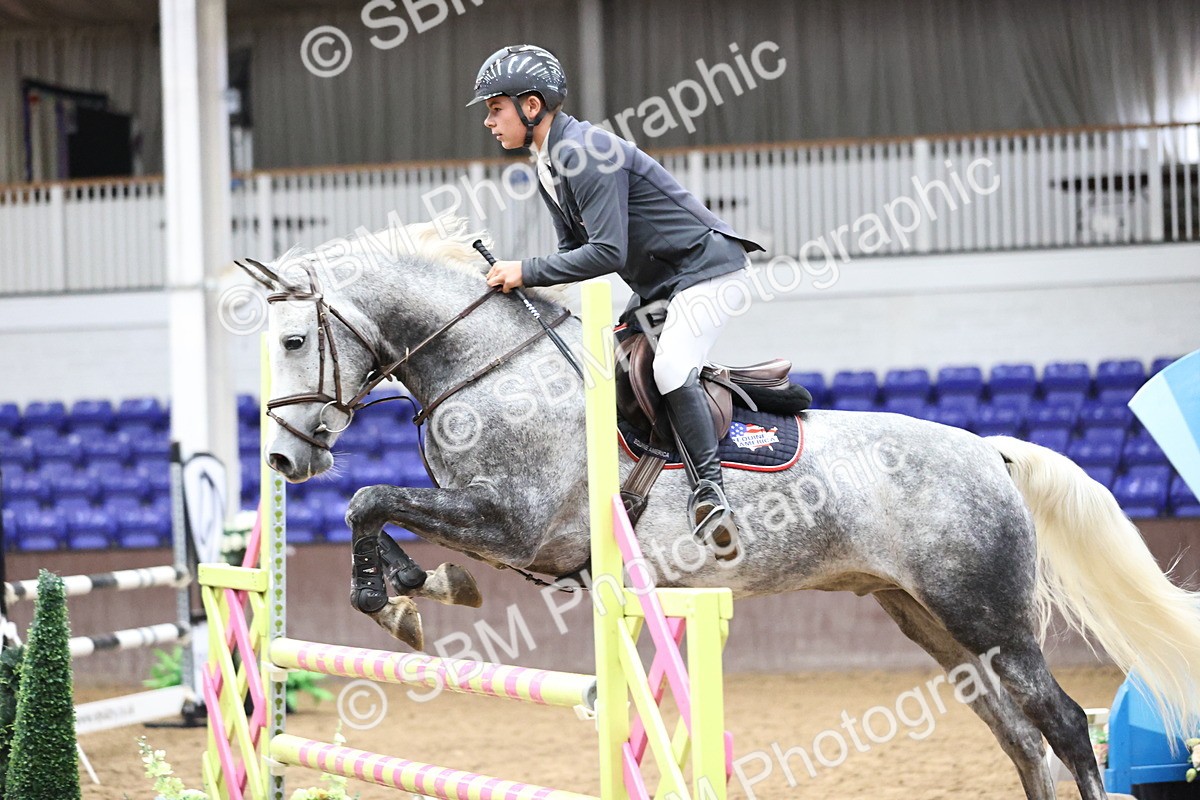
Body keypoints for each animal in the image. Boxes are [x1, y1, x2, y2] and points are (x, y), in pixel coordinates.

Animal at [239, 216, 1200, 800]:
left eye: (293, 338)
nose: (284, 458)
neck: (489, 368)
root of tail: (990, 450)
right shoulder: (500, 529)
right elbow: (377, 510)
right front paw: (412, 592)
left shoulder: (512, 523)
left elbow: (370, 498)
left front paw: (399, 595)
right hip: (928, 620)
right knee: (1018, 736)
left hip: (988, 615)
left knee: (1063, 725)